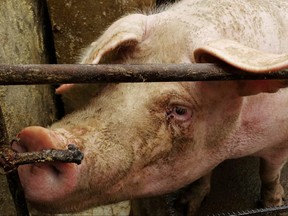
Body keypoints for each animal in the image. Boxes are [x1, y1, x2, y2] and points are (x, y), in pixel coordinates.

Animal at [12, 0, 288, 215]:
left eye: (180, 110)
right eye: (114, 79)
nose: (37, 137)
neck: (238, 142)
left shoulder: (280, 141)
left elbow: (269, 173)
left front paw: (273, 204)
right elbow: (203, 172)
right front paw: (185, 207)